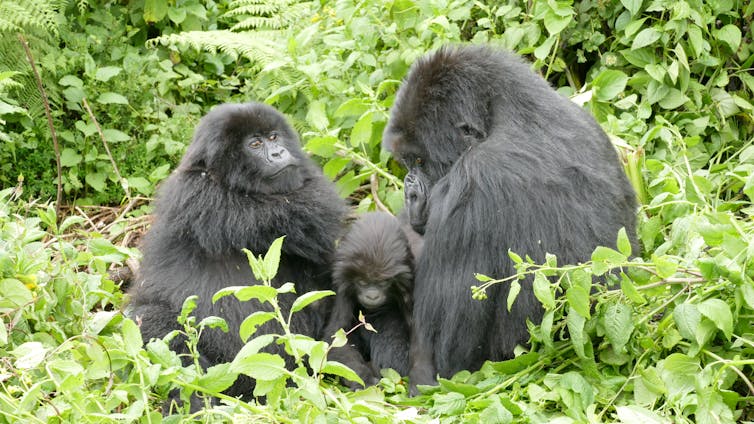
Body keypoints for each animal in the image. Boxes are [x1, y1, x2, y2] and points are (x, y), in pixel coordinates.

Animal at [129, 101, 346, 406]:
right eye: (255, 144)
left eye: (273, 137)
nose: (279, 153)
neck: (225, 182)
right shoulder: (203, 196)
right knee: (148, 320)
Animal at [322, 212, 420, 388]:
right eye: (362, 282)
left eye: (383, 282)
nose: (372, 296)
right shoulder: (342, 286)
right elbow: (336, 337)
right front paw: (362, 377)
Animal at [382, 45, 636, 390]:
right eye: (408, 163)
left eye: (420, 161)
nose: (409, 188)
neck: (509, 111)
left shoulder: (473, 182)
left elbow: (442, 360)